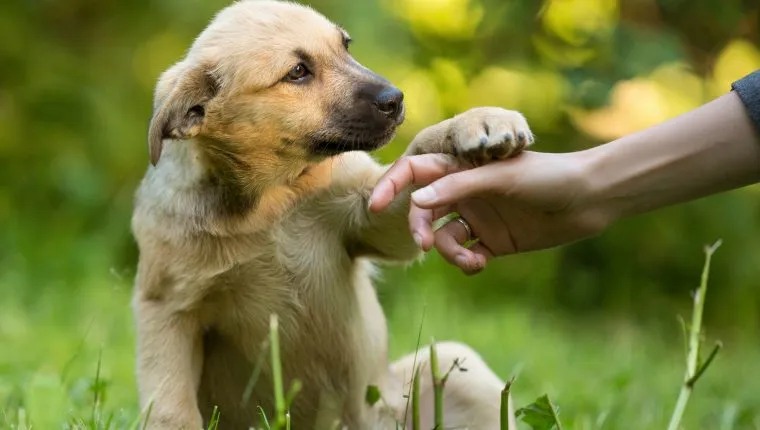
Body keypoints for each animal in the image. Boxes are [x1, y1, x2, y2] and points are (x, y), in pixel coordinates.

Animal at [129, 1, 536, 428]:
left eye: (345, 46)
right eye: (298, 72)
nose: (396, 99)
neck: (272, 200)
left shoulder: (371, 215)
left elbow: (417, 154)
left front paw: (476, 122)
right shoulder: (167, 308)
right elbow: (171, 407)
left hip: (456, 368)